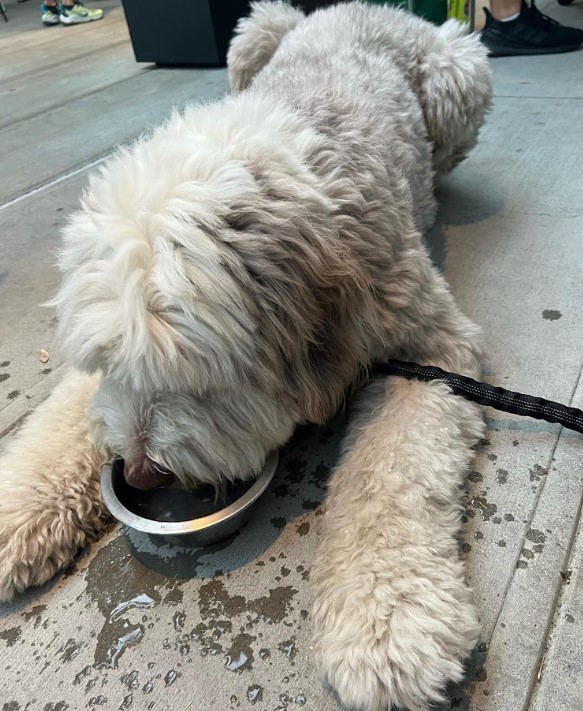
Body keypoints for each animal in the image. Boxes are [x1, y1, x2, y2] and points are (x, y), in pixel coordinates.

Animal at [0, 2, 492, 708]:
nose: (141, 474)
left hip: (461, 70)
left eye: (193, 379)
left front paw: (387, 623)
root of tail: (366, 8)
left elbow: (392, 477)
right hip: (253, 34)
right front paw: (17, 510)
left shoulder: (431, 350)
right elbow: (64, 416)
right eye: (107, 364)